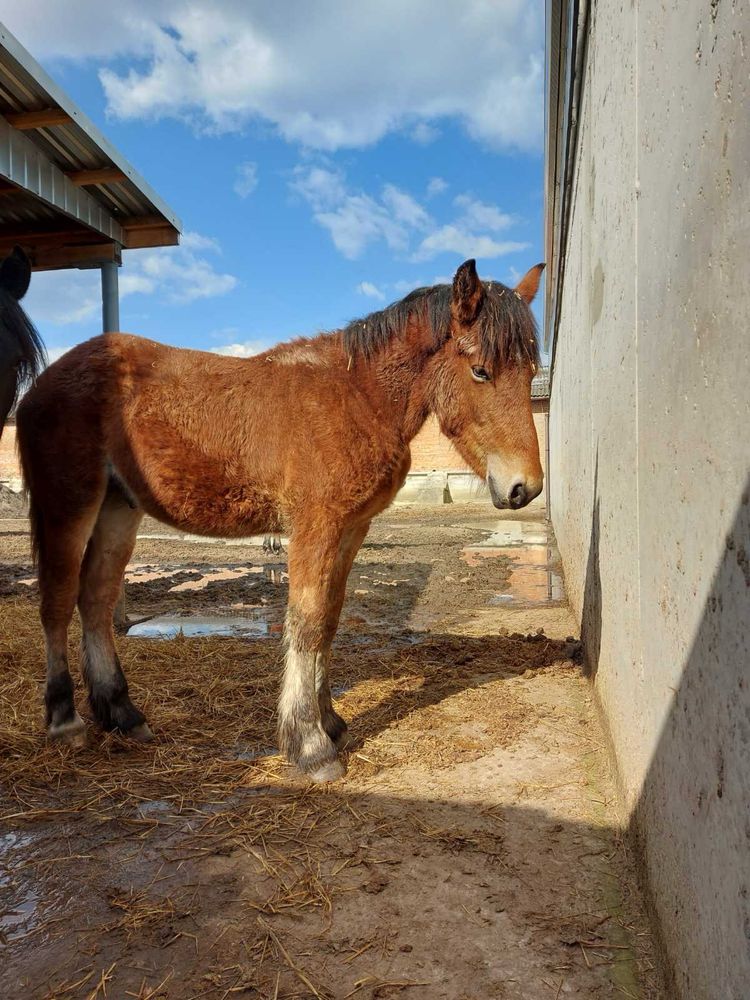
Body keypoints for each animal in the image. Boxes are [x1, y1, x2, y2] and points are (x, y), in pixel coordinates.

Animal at [11, 256, 544, 780]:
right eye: (480, 371)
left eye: (531, 369)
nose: (526, 487)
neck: (355, 396)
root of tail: (41, 385)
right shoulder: (315, 527)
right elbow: (306, 623)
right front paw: (310, 746)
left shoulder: (351, 529)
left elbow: (329, 619)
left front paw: (332, 724)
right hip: (68, 504)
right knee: (57, 602)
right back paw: (66, 721)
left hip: (119, 509)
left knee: (96, 601)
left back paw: (122, 713)